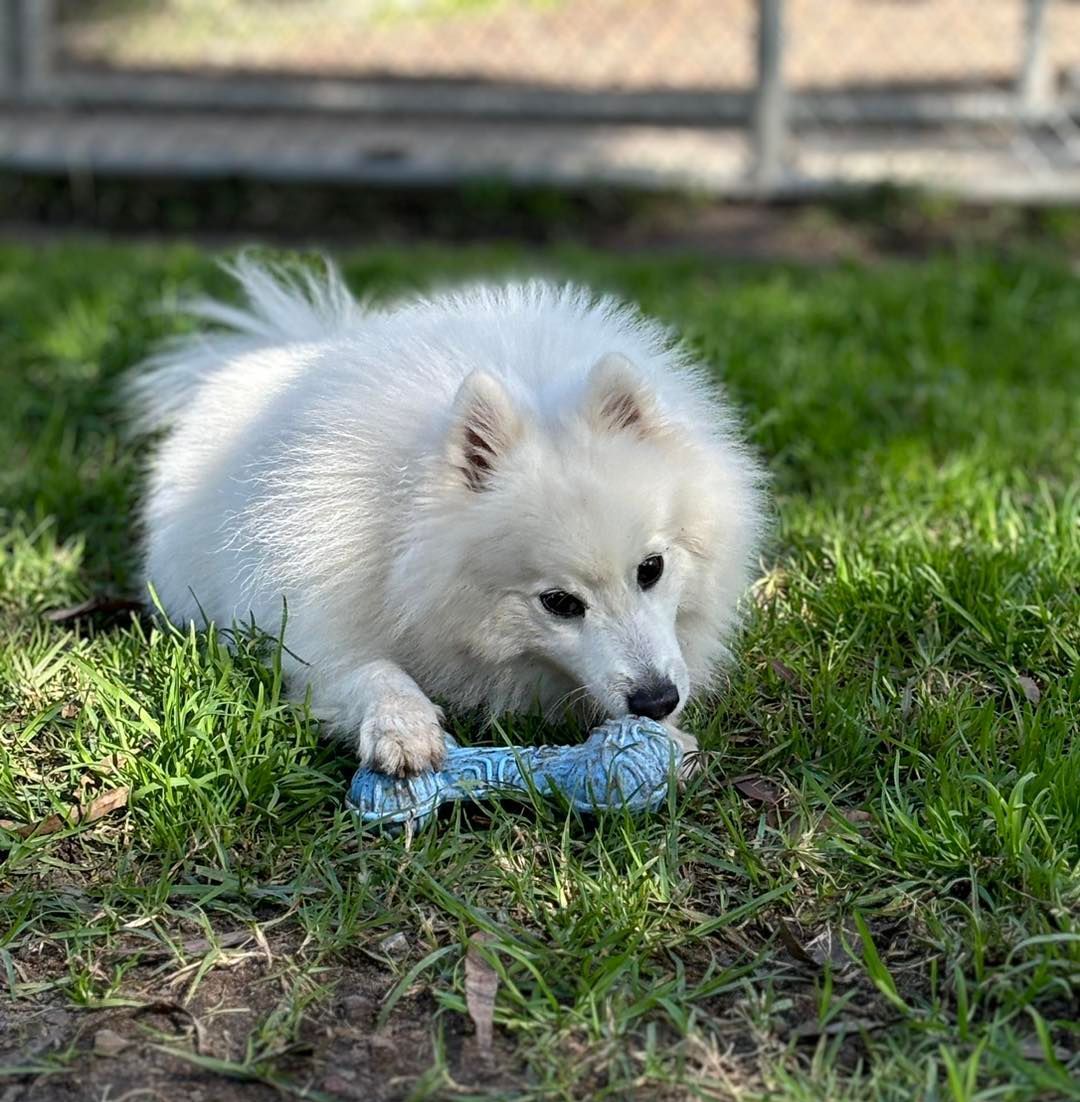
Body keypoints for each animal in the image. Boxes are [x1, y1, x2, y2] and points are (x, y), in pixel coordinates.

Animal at [128, 260, 767, 775]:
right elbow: (369, 670)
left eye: (651, 569)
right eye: (559, 603)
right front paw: (403, 727)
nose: (657, 701)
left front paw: (668, 741)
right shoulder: (313, 625)